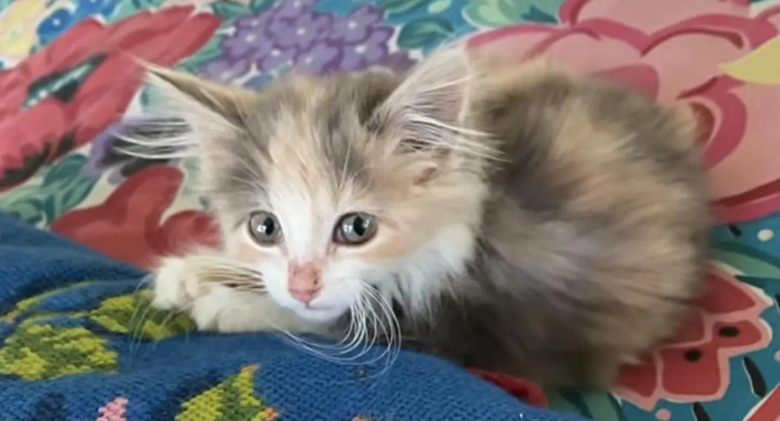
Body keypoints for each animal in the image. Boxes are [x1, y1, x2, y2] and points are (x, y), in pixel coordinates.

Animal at [139, 46, 708, 388]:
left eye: (357, 228)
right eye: (264, 227)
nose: (303, 284)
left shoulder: (466, 329)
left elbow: (332, 323)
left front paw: (228, 304)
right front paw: (195, 273)